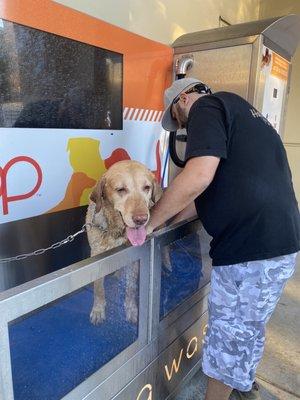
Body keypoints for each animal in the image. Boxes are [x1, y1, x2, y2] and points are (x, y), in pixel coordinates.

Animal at [85, 159, 163, 324]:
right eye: (120, 189)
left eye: (146, 187)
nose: (141, 219)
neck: (115, 229)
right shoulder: (96, 255)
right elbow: (98, 286)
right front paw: (98, 309)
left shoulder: (134, 256)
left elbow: (131, 287)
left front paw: (131, 309)